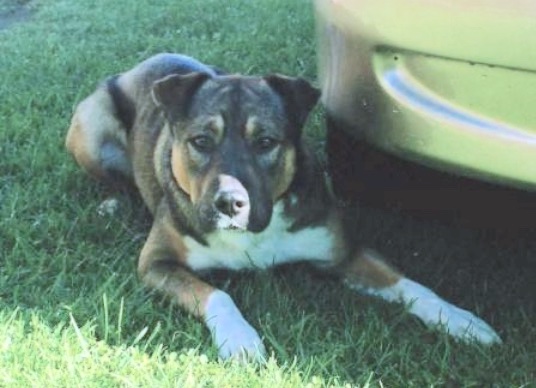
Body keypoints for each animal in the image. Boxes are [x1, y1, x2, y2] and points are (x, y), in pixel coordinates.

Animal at [67, 52, 502, 360]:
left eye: (266, 142)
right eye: (201, 141)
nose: (229, 203)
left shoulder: (341, 253)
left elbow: (408, 283)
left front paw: (460, 320)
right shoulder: (157, 264)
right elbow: (215, 294)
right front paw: (240, 340)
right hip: (88, 130)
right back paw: (112, 204)